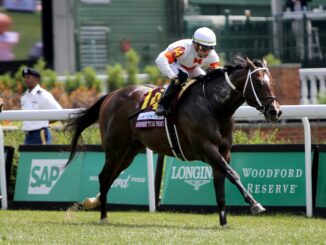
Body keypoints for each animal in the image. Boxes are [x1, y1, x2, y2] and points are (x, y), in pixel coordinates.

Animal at [64, 57, 282, 226]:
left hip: (129, 152)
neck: (214, 106)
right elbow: (233, 174)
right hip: (115, 149)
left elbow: (221, 185)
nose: (275, 111)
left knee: (110, 178)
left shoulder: (223, 152)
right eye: (259, 82)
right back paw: (103, 216)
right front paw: (255, 204)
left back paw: (95, 203)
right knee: (104, 177)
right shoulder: (206, 149)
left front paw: (224, 222)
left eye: (272, 82)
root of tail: (111, 94)